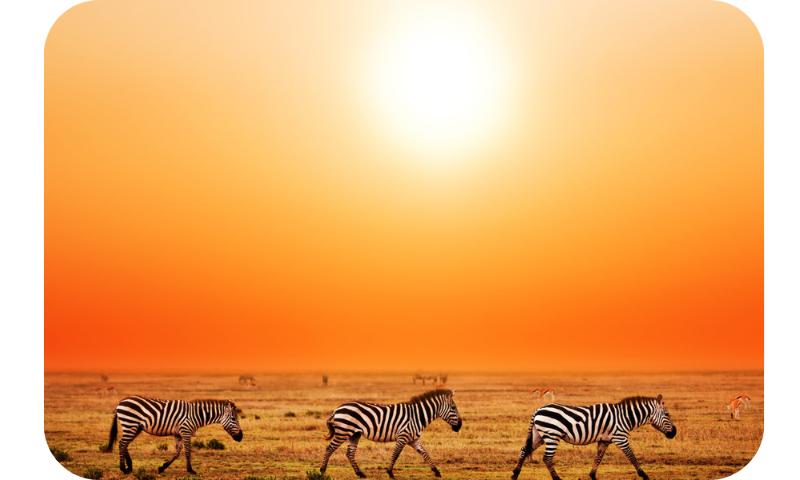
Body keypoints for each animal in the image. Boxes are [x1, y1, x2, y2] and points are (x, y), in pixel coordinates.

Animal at [101, 396, 243, 474]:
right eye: (234, 419)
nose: (241, 437)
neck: (196, 415)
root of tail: (120, 402)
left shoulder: (178, 434)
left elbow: (177, 453)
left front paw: (162, 468)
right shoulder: (186, 431)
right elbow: (187, 452)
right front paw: (190, 470)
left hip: (135, 427)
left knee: (125, 444)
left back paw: (129, 467)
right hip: (130, 424)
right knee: (122, 443)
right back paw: (124, 469)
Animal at [320, 389, 463, 479]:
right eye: (453, 408)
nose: (459, 426)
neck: (417, 416)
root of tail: (337, 409)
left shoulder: (413, 439)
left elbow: (425, 453)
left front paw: (436, 472)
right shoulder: (403, 436)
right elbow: (395, 455)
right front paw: (390, 473)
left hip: (354, 434)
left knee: (349, 453)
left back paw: (360, 474)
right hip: (343, 431)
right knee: (329, 448)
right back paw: (322, 471)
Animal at [511, 395, 676, 480]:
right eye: (667, 414)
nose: (674, 432)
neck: (625, 417)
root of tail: (538, 409)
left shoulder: (604, 440)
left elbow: (598, 457)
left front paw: (592, 475)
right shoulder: (620, 438)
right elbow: (631, 456)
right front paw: (644, 474)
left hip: (538, 435)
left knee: (524, 450)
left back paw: (515, 474)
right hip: (552, 435)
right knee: (547, 458)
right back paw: (557, 479)